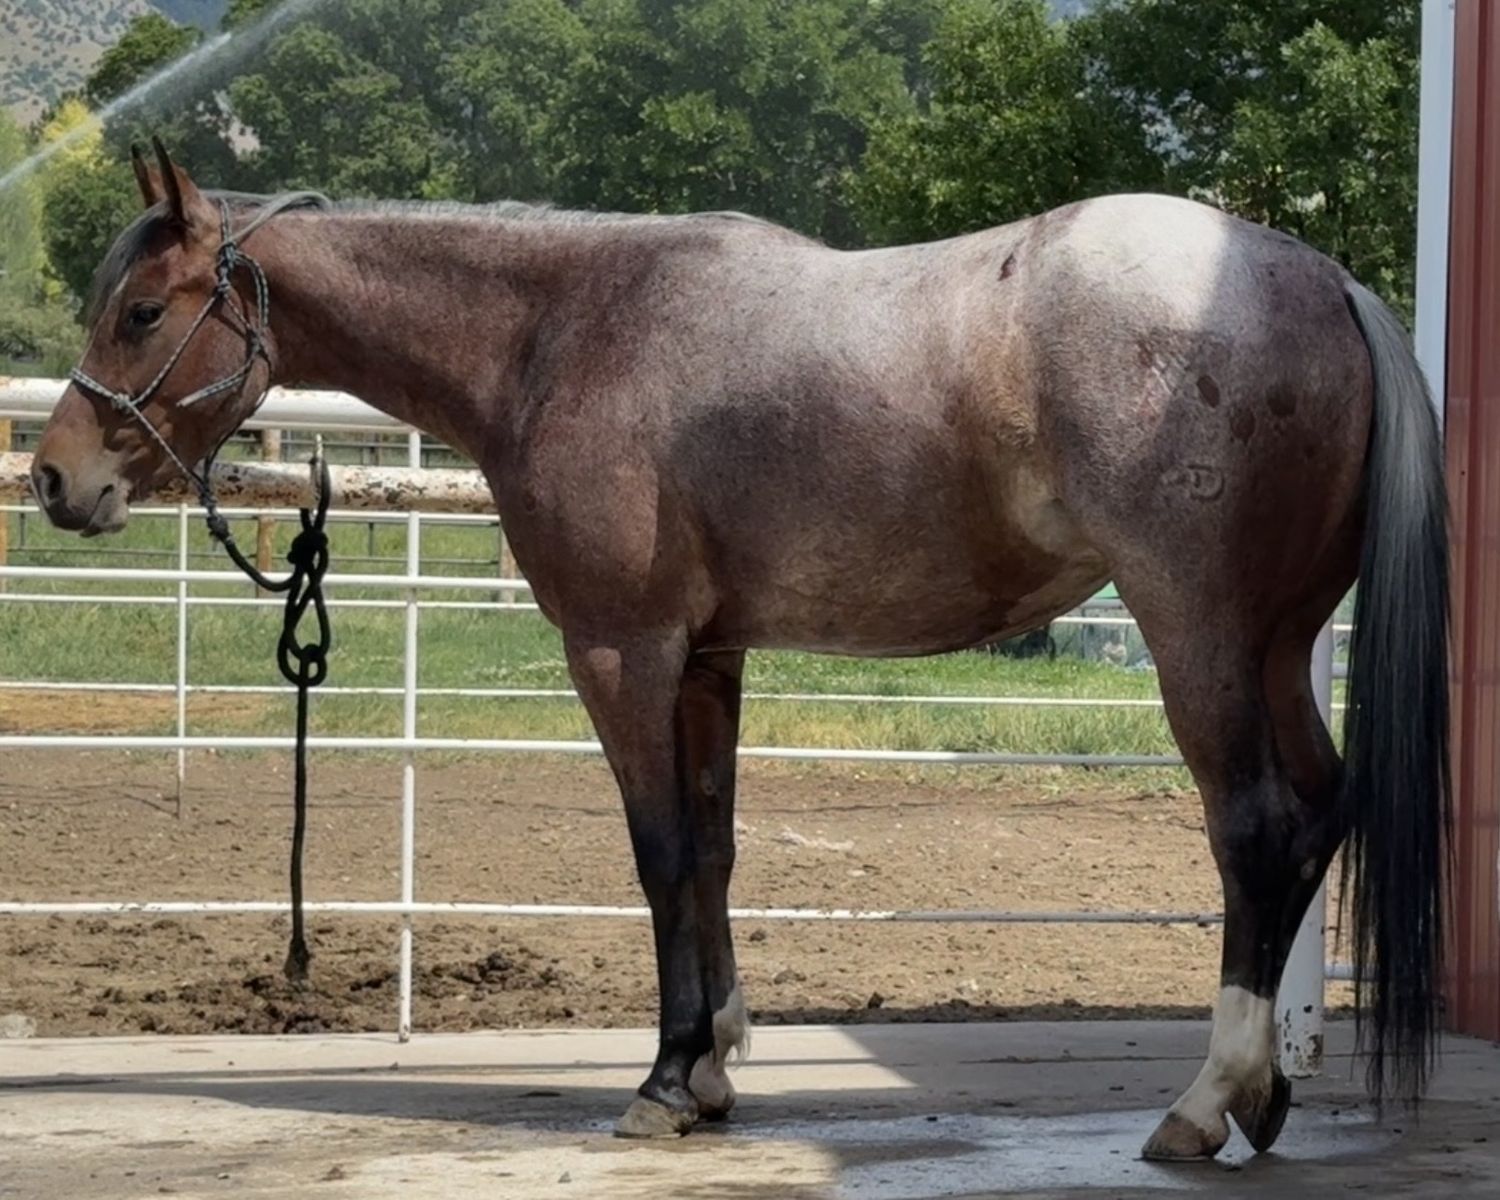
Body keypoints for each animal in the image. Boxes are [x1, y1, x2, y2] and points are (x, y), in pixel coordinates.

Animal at [31, 140, 1449, 1162]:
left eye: (144, 312)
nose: (54, 479)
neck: (563, 331)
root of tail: (1324, 279)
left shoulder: (623, 653)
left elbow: (659, 855)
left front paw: (664, 1082)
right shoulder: (711, 662)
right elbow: (711, 852)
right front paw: (711, 1067)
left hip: (1198, 638)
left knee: (1255, 829)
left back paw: (1204, 1106)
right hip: (1278, 643)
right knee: (1317, 812)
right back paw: (1260, 1101)